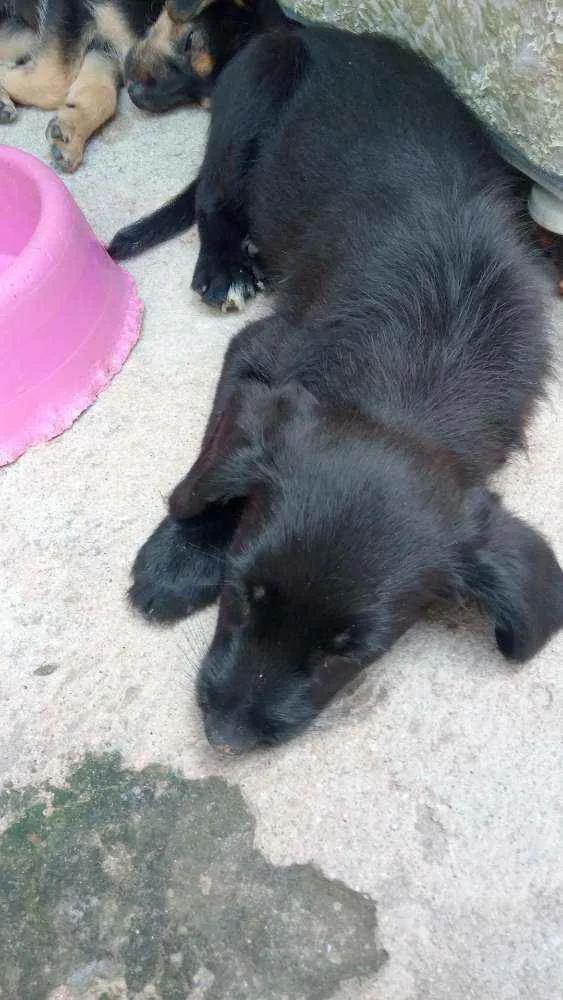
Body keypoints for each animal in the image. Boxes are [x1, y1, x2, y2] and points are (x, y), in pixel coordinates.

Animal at [0, 0, 258, 170]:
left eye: (204, 101)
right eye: (189, 41)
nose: (137, 96)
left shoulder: (104, 50)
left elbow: (101, 95)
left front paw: (72, 132)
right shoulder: (69, 11)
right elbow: (55, 81)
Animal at [125, 0, 560, 752]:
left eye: (352, 652)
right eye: (239, 591)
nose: (227, 737)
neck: (422, 370)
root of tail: (316, 30)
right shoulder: (259, 352)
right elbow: (211, 468)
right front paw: (179, 557)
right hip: (249, 100)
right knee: (213, 198)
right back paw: (225, 264)